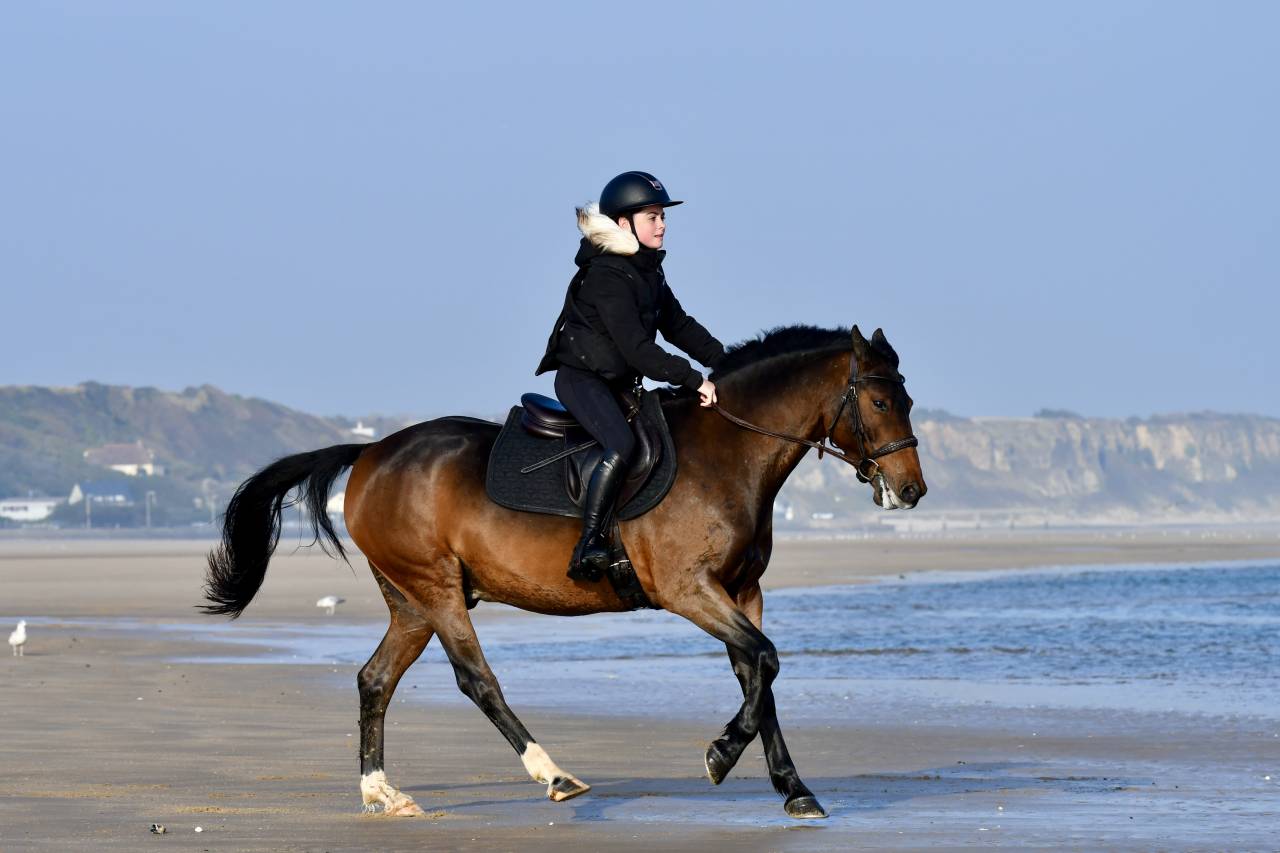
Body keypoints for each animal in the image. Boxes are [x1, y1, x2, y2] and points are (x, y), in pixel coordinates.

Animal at [201, 324, 926, 820]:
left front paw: (794, 789)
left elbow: (760, 676)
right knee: (475, 679)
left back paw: (383, 792)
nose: (911, 490)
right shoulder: (689, 590)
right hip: (436, 588)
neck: (728, 454)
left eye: (907, 400)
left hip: (410, 599)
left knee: (374, 679)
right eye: (881, 403)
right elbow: (766, 662)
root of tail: (372, 452)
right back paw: (553, 775)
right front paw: (720, 756)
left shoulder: (743, 592)